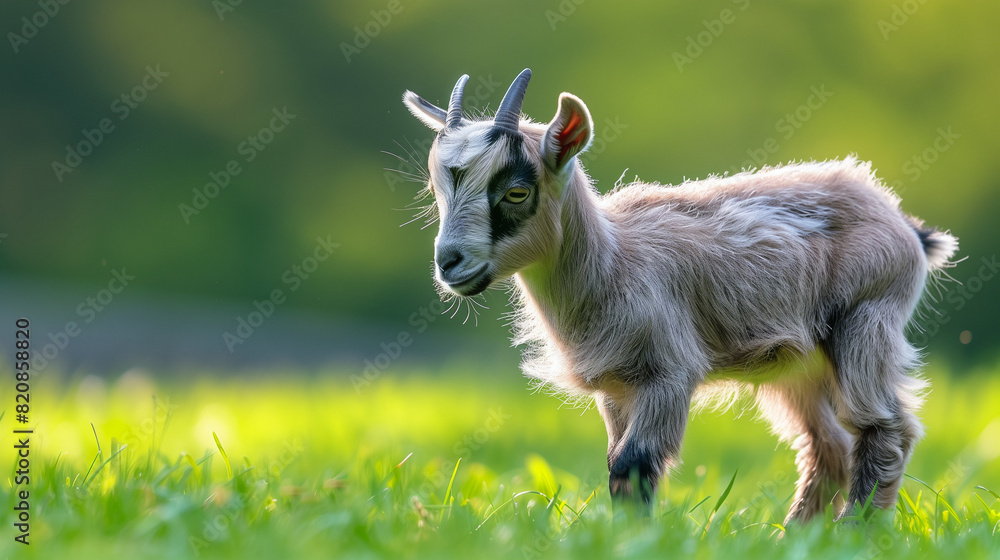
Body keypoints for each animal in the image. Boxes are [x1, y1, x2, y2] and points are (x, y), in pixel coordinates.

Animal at [401, 68, 958, 523]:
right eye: (437, 191)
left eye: (516, 192)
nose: (449, 263)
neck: (615, 261)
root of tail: (903, 222)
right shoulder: (616, 387)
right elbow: (616, 464)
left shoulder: (667, 372)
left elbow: (633, 464)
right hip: (799, 365)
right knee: (828, 447)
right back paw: (796, 534)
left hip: (865, 322)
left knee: (884, 430)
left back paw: (852, 530)